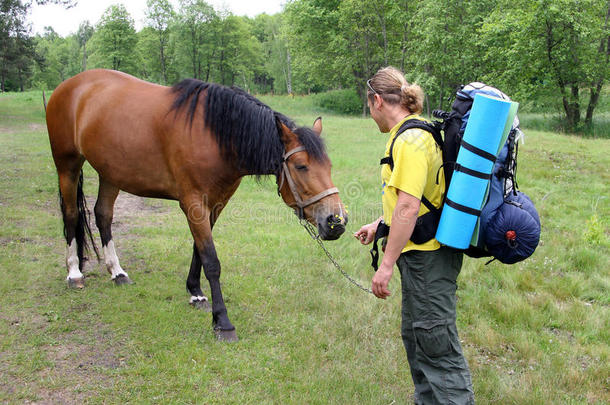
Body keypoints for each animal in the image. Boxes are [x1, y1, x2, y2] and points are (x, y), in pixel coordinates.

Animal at [45, 69, 344, 340]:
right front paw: (222, 322)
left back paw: (116, 271)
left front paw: (196, 293)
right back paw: (74, 273)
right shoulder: (193, 203)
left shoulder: (215, 203)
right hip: (67, 165)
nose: (336, 221)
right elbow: (211, 260)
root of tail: (70, 85)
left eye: (329, 165)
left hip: (111, 172)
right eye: (301, 165)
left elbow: (198, 250)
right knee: (71, 215)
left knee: (103, 214)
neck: (215, 136)